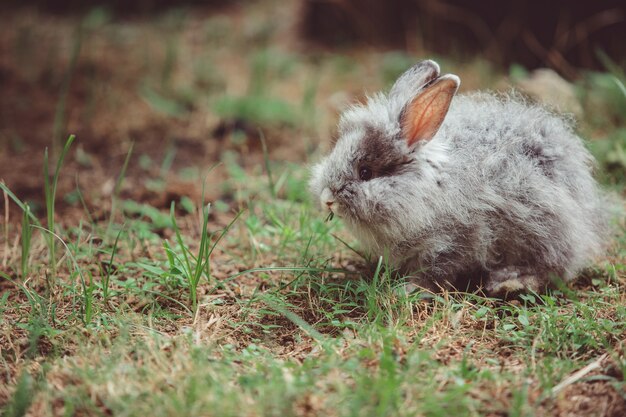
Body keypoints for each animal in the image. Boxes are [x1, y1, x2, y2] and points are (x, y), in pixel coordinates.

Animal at [310, 60, 608, 298]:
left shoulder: (453, 242)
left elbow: (435, 273)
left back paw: (510, 283)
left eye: (365, 172)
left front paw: (408, 289)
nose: (326, 199)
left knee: (554, 268)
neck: (426, 190)